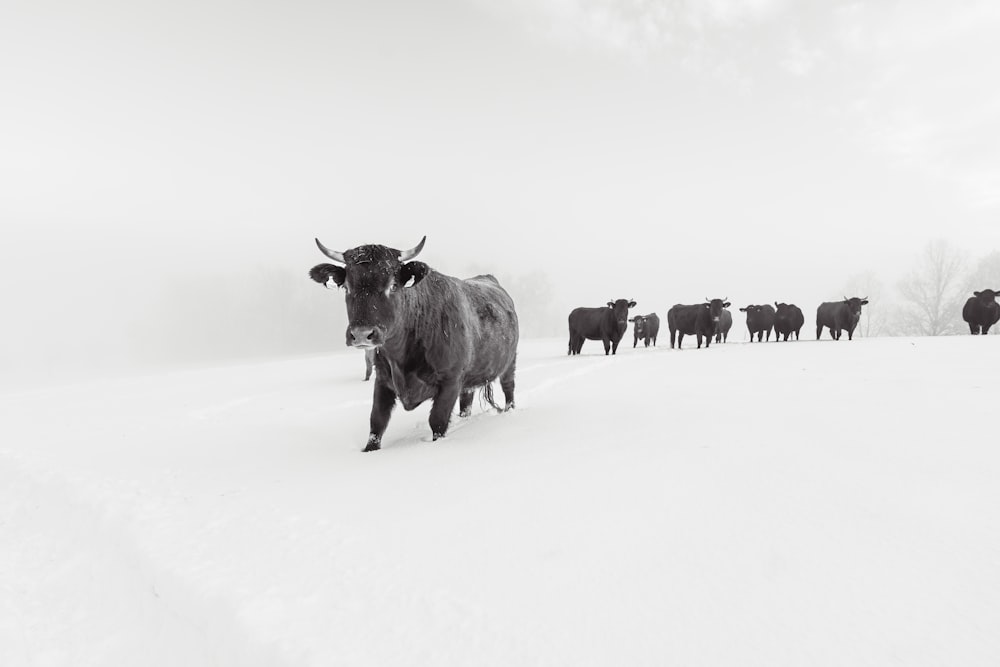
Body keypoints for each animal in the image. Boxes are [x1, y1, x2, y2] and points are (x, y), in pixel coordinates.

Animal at [308, 237, 520, 452]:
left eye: (393, 285)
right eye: (347, 287)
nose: (361, 334)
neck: (401, 357)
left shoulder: (450, 380)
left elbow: (437, 421)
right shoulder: (382, 380)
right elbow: (377, 422)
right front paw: (369, 450)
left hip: (509, 363)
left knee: (508, 389)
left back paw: (510, 410)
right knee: (466, 402)